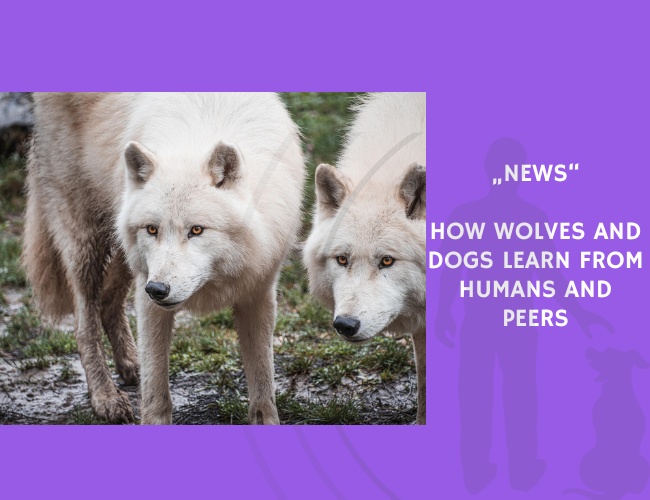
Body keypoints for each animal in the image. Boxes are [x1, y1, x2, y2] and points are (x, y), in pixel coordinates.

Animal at [23, 93, 304, 424]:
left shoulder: (258, 290)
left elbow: (262, 377)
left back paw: (130, 365)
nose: (157, 289)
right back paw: (106, 397)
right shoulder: (148, 295)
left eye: (196, 230)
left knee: (107, 301)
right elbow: (156, 385)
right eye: (152, 229)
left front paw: (266, 418)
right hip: (87, 243)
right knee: (82, 323)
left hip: (124, 252)